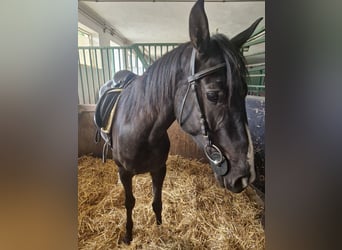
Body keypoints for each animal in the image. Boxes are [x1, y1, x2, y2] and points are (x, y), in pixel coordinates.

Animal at [107, 0, 262, 242]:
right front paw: (128, 235)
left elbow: (157, 201)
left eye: (245, 92)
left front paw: (160, 230)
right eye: (213, 95)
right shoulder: (124, 172)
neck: (141, 131)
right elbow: (129, 202)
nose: (246, 178)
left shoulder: (159, 168)